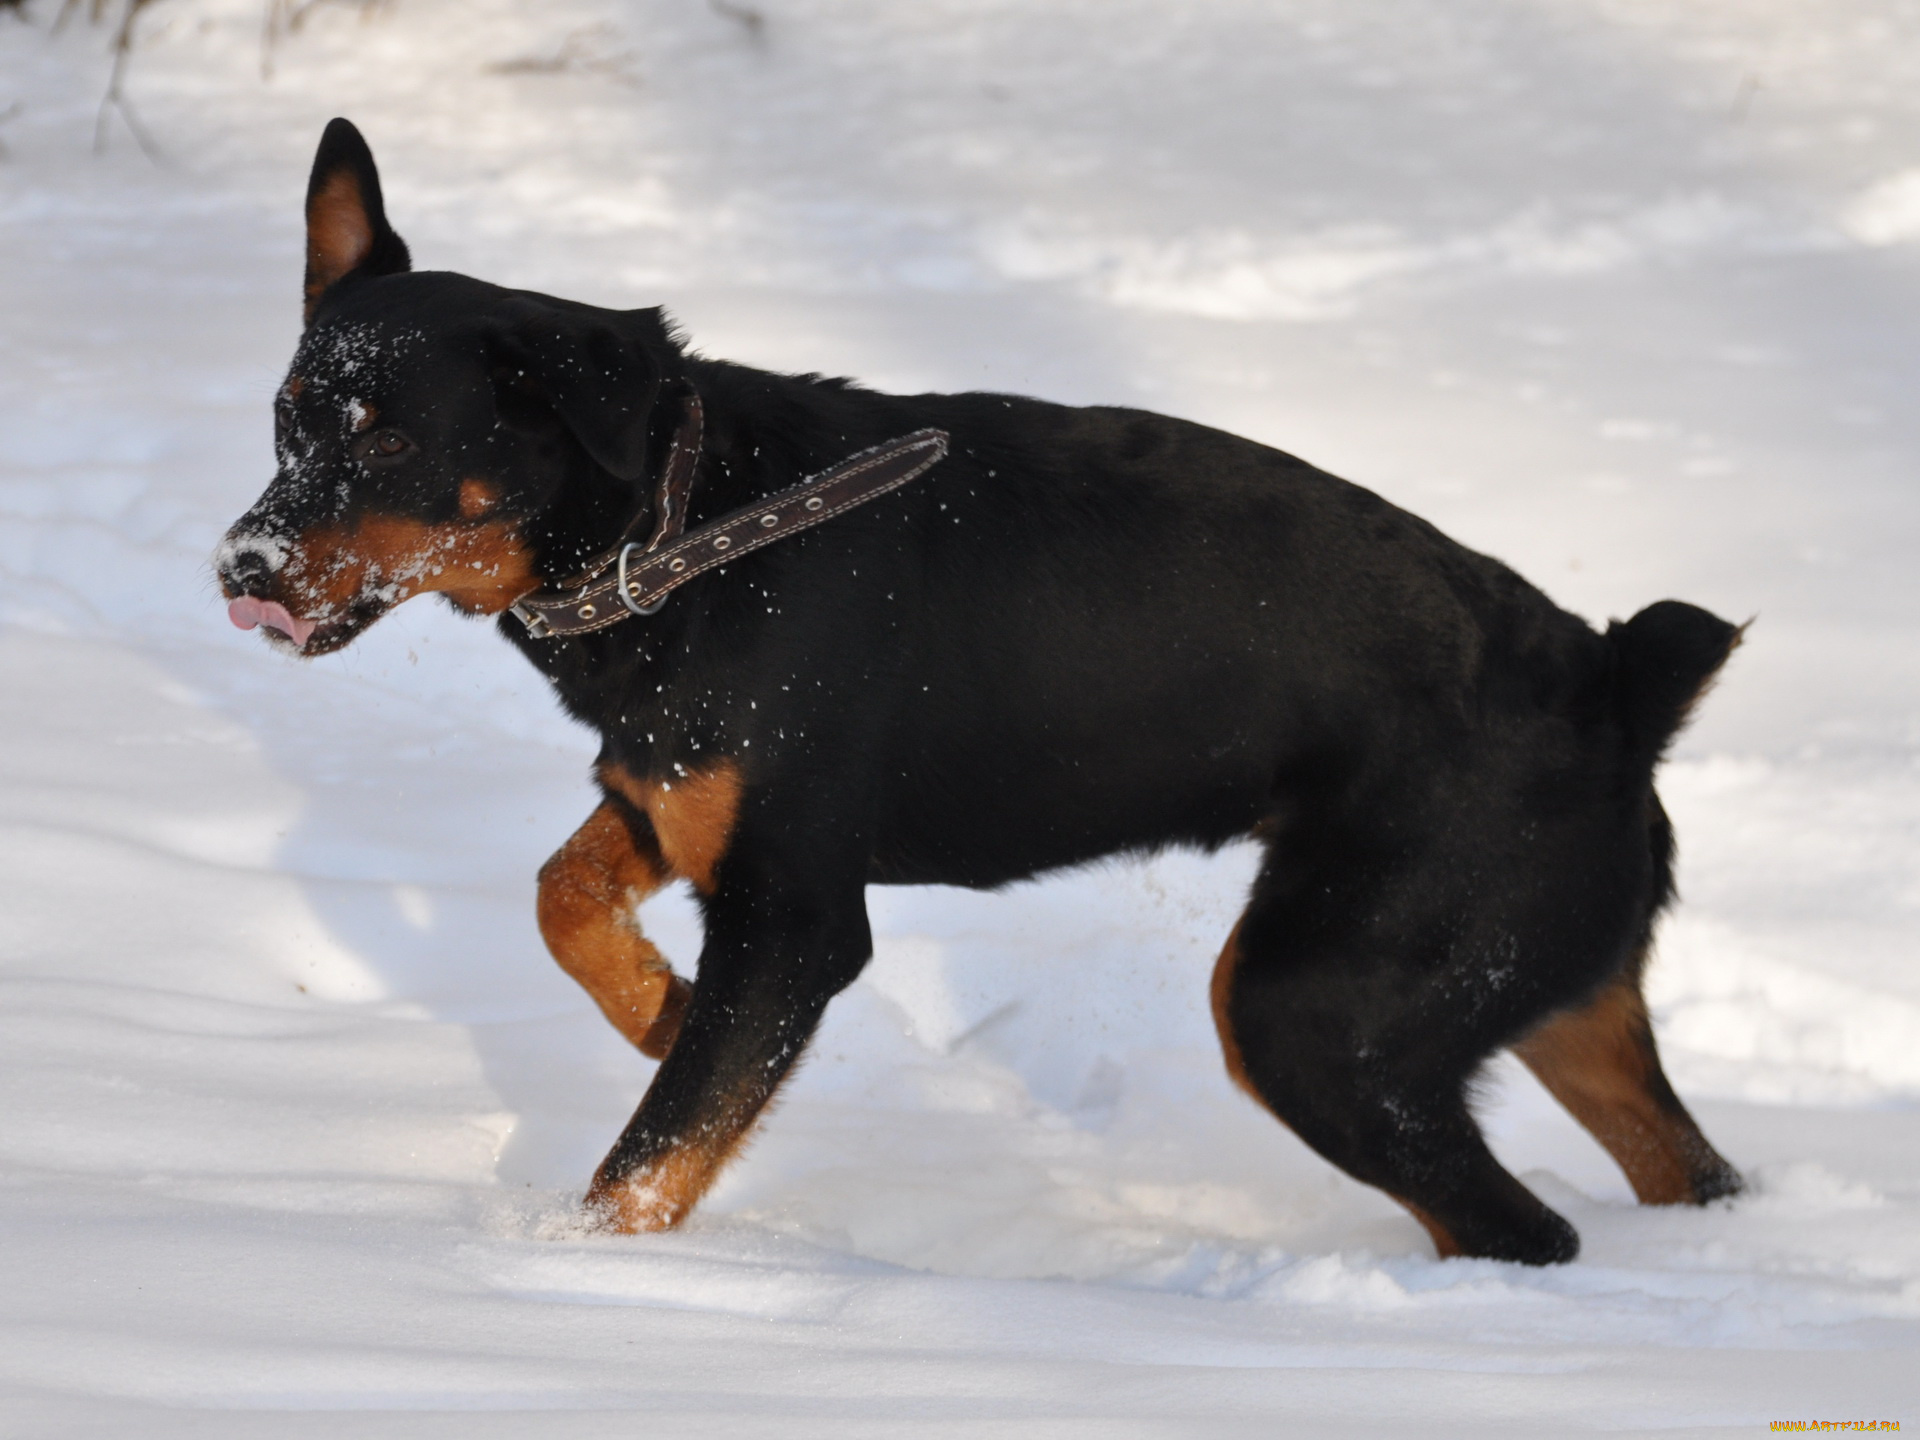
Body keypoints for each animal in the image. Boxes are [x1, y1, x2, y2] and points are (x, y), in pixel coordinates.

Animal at [217, 121, 1751, 1259]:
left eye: (392, 440)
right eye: (289, 420)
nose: (244, 563)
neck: (685, 529)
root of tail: (1614, 687)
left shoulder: (797, 917)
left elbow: (649, 1158)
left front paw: (579, 1271)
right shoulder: (673, 805)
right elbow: (561, 897)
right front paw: (655, 1002)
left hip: (1317, 1003)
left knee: (1519, 1229)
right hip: (1541, 990)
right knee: (1684, 1169)